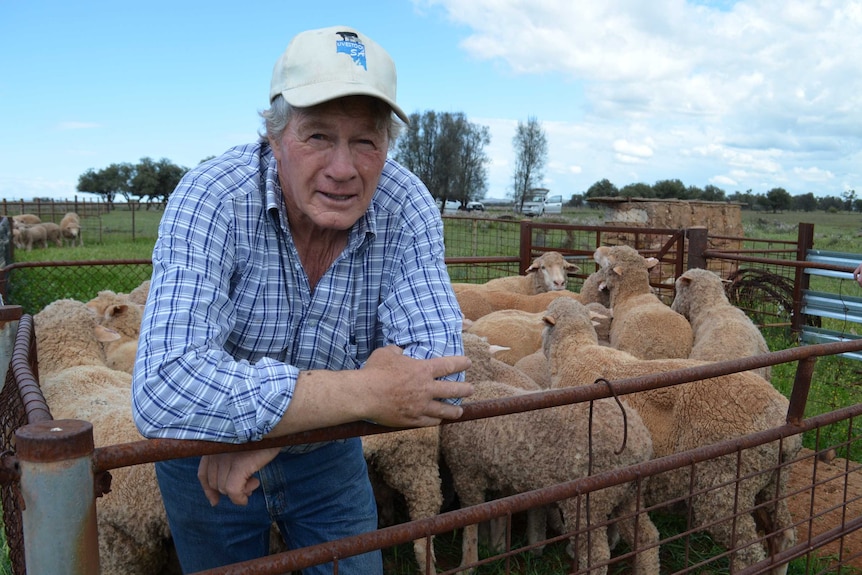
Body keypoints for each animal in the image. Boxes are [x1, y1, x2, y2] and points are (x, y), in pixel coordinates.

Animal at [442, 378, 660, 575]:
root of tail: (639, 441)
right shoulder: (498, 477)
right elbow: (498, 511)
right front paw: (496, 546)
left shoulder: (466, 474)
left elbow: (470, 522)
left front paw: (467, 564)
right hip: (627, 494)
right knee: (647, 538)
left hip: (589, 502)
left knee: (597, 555)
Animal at [544, 296, 808, 575]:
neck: (575, 351)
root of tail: (781, 418)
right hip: (771, 483)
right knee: (783, 536)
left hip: (724, 490)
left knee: (748, 554)